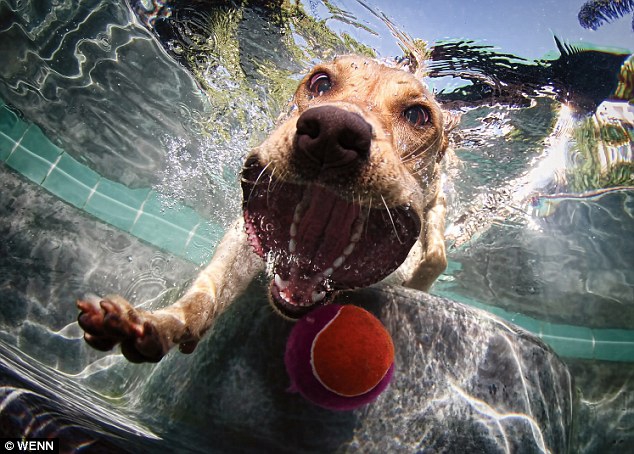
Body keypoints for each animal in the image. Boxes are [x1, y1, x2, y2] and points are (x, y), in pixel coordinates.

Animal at [76, 55, 450, 364]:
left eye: (417, 115)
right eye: (320, 82)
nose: (332, 131)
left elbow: (435, 257)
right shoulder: (243, 238)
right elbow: (206, 293)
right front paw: (160, 323)